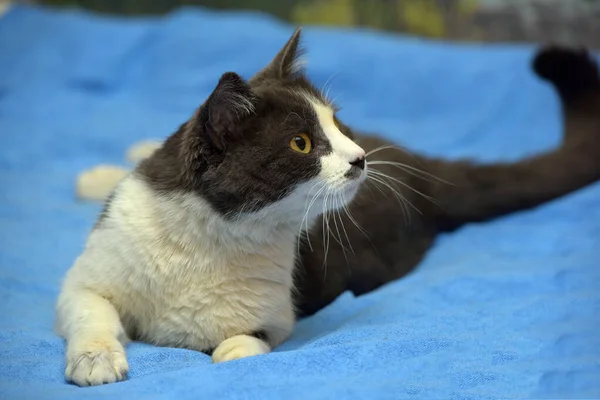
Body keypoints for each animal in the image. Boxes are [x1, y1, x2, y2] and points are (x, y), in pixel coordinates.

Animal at [57, 28, 600, 388]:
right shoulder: (95, 268)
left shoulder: (276, 312)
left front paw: (229, 352)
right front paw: (96, 360)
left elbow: (243, 346)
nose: (359, 158)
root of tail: (415, 165)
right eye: (300, 143)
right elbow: (89, 307)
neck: (212, 238)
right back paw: (106, 170)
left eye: (339, 125)